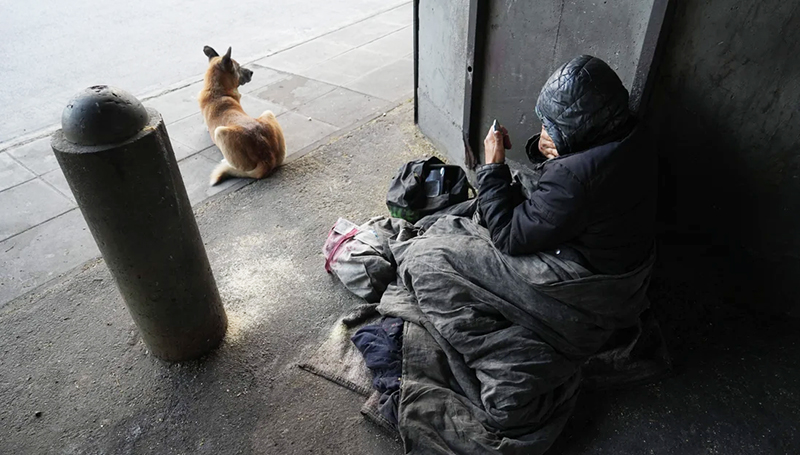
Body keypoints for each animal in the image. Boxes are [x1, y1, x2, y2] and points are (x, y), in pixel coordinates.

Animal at [198, 47, 286, 186]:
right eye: (238, 67)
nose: (251, 72)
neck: (217, 92)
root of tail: (267, 158)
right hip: (268, 113)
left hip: (220, 132)